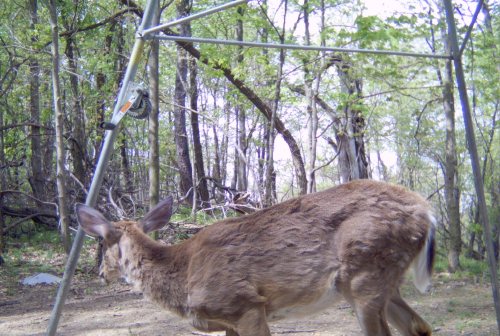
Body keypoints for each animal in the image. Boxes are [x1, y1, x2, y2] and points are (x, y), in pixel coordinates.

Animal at [77, 180, 434, 336]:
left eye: (101, 242)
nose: (101, 274)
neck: (182, 274)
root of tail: (427, 211)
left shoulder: (243, 304)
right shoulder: (228, 321)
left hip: (365, 271)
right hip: (383, 280)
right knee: (418, 326)